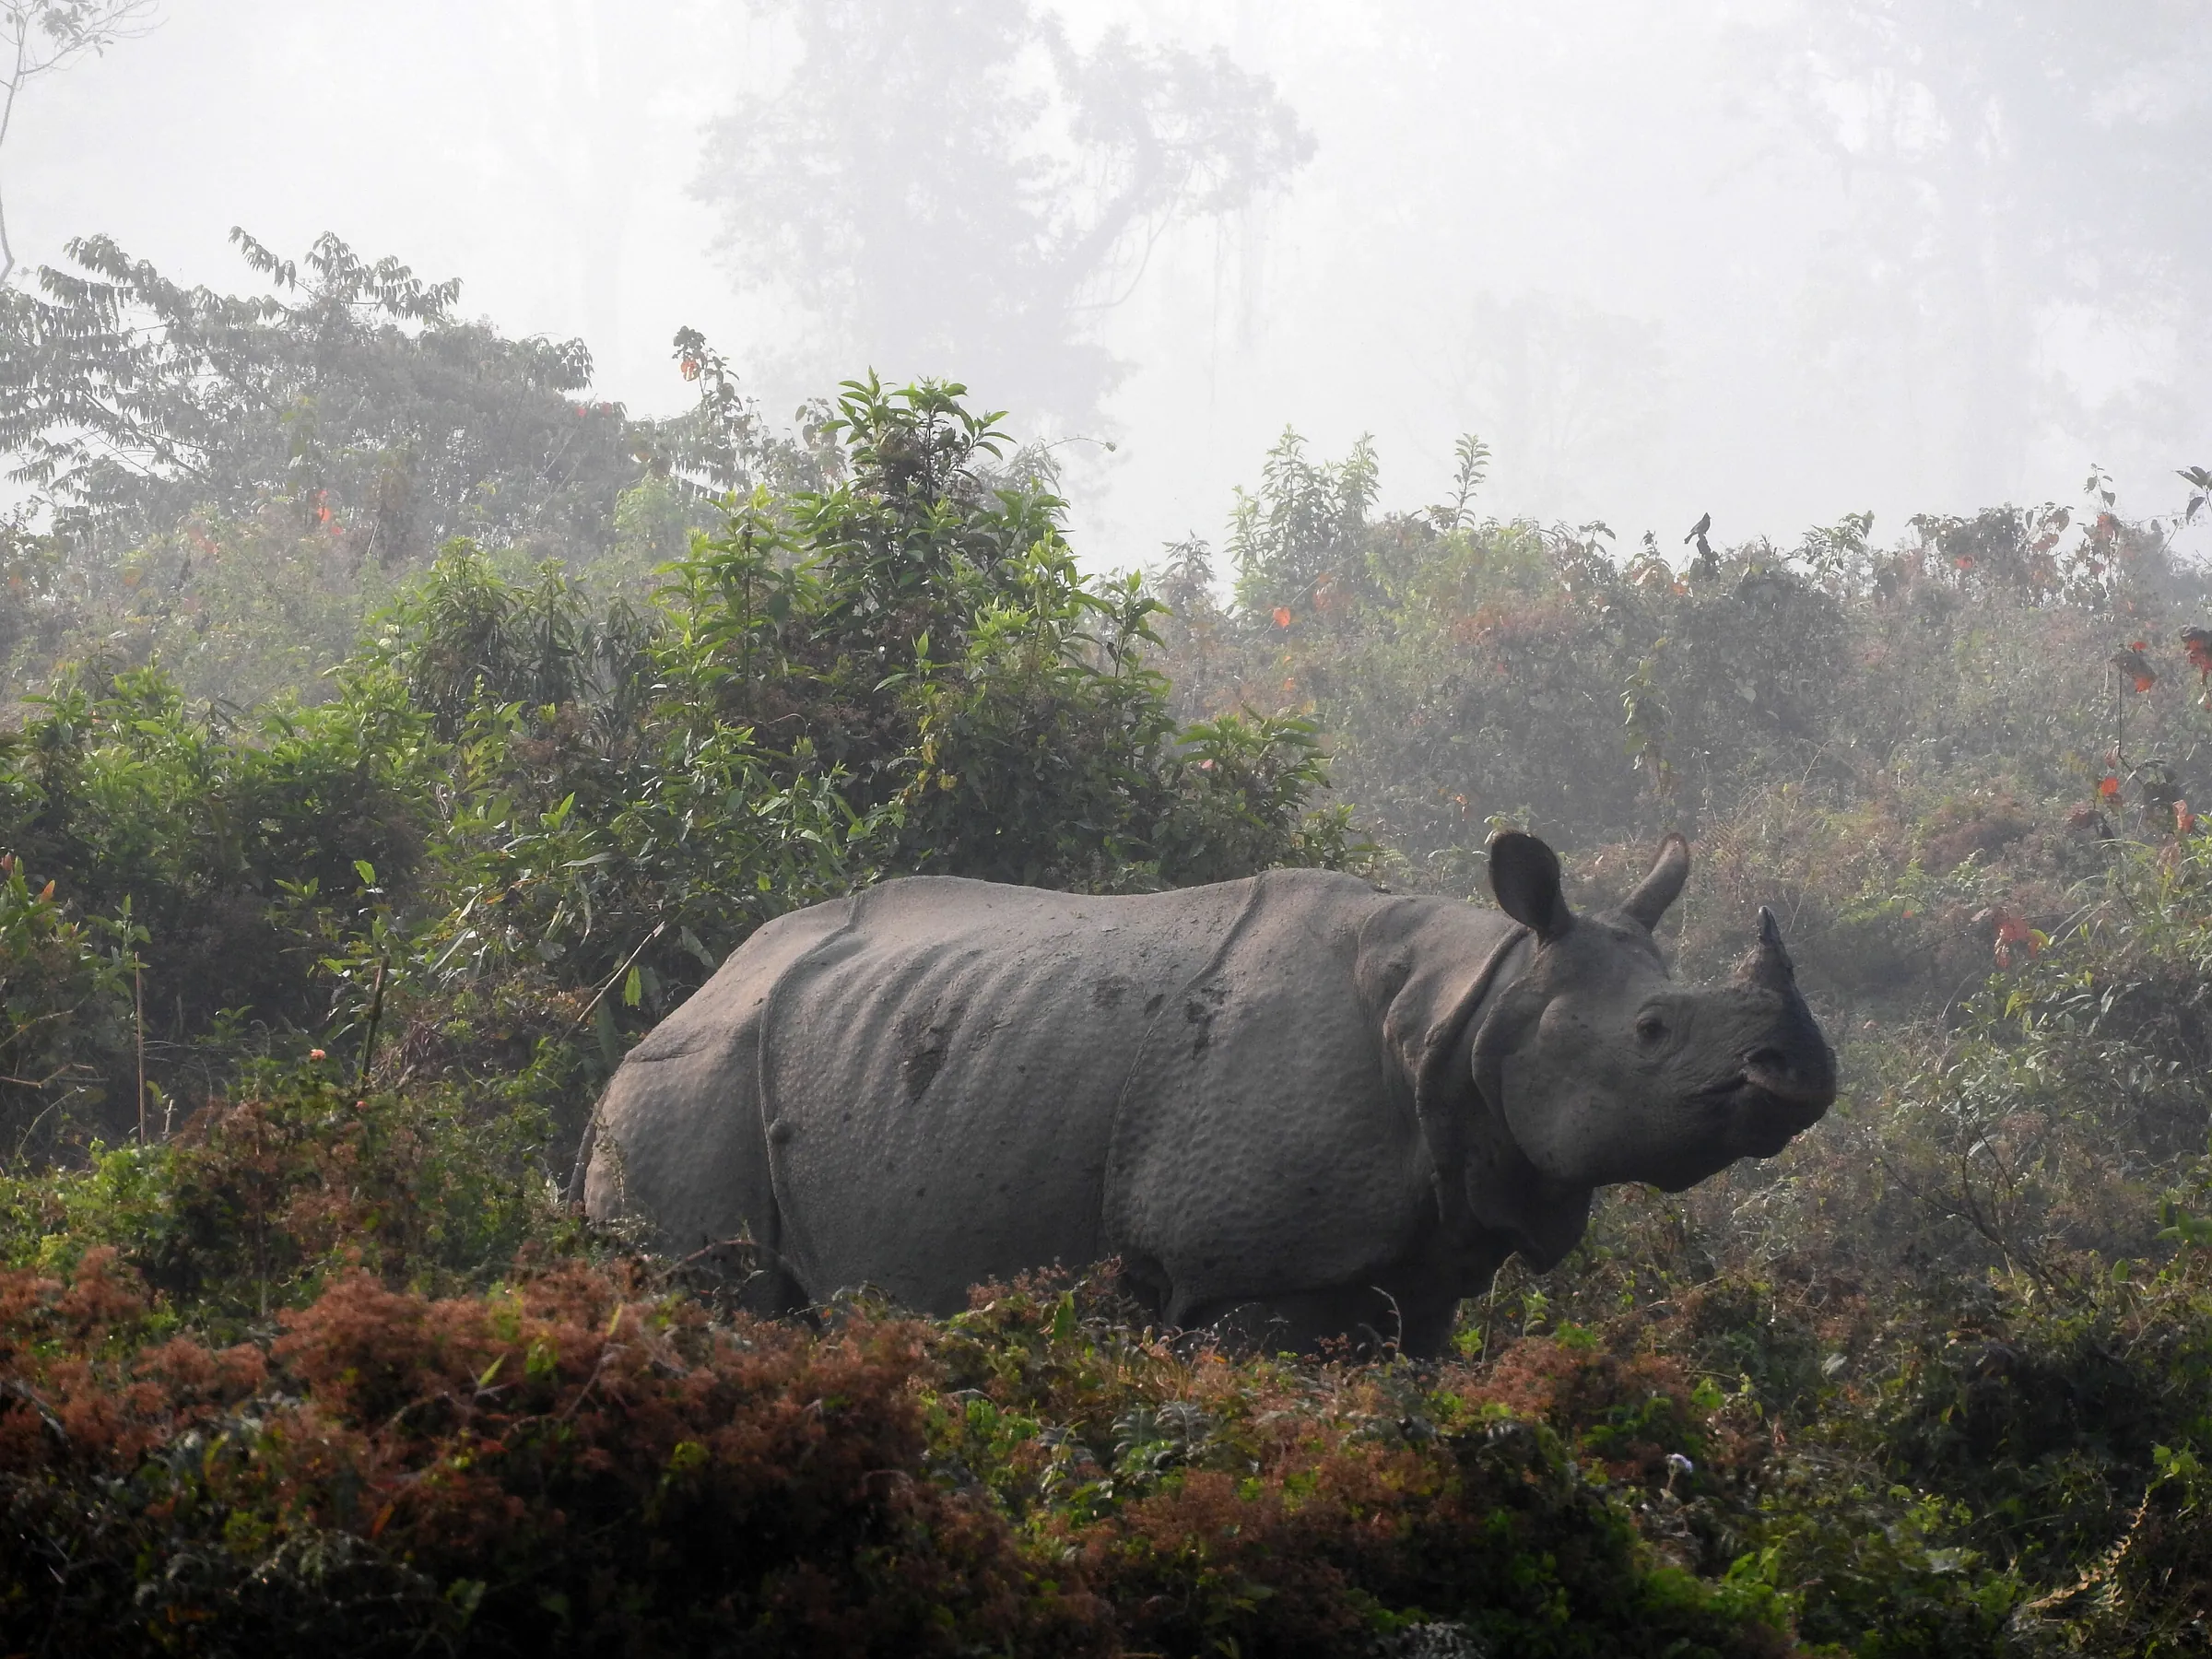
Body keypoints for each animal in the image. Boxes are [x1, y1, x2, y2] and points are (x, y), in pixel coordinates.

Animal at [580, 832, 1834, 1355]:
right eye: (1655, 1033)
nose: (1803, 1073)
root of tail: (670, 1010)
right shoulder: (1248, 1267)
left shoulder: (1415, 1267)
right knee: (713, 1290)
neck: (1478, 1000)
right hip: (688, 1087)